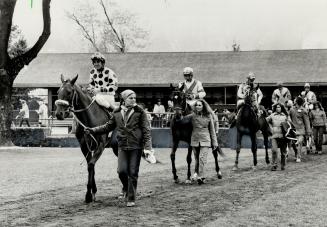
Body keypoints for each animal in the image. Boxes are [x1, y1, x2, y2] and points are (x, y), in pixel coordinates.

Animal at [54, 74, 118, 202]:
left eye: (69, 92)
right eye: (58, 91)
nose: (59, 114)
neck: (90, 118)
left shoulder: (100, 145)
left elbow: (91, 165)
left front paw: (89, 194)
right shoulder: (84, 145)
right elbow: (90, 166)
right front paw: (91, 192)